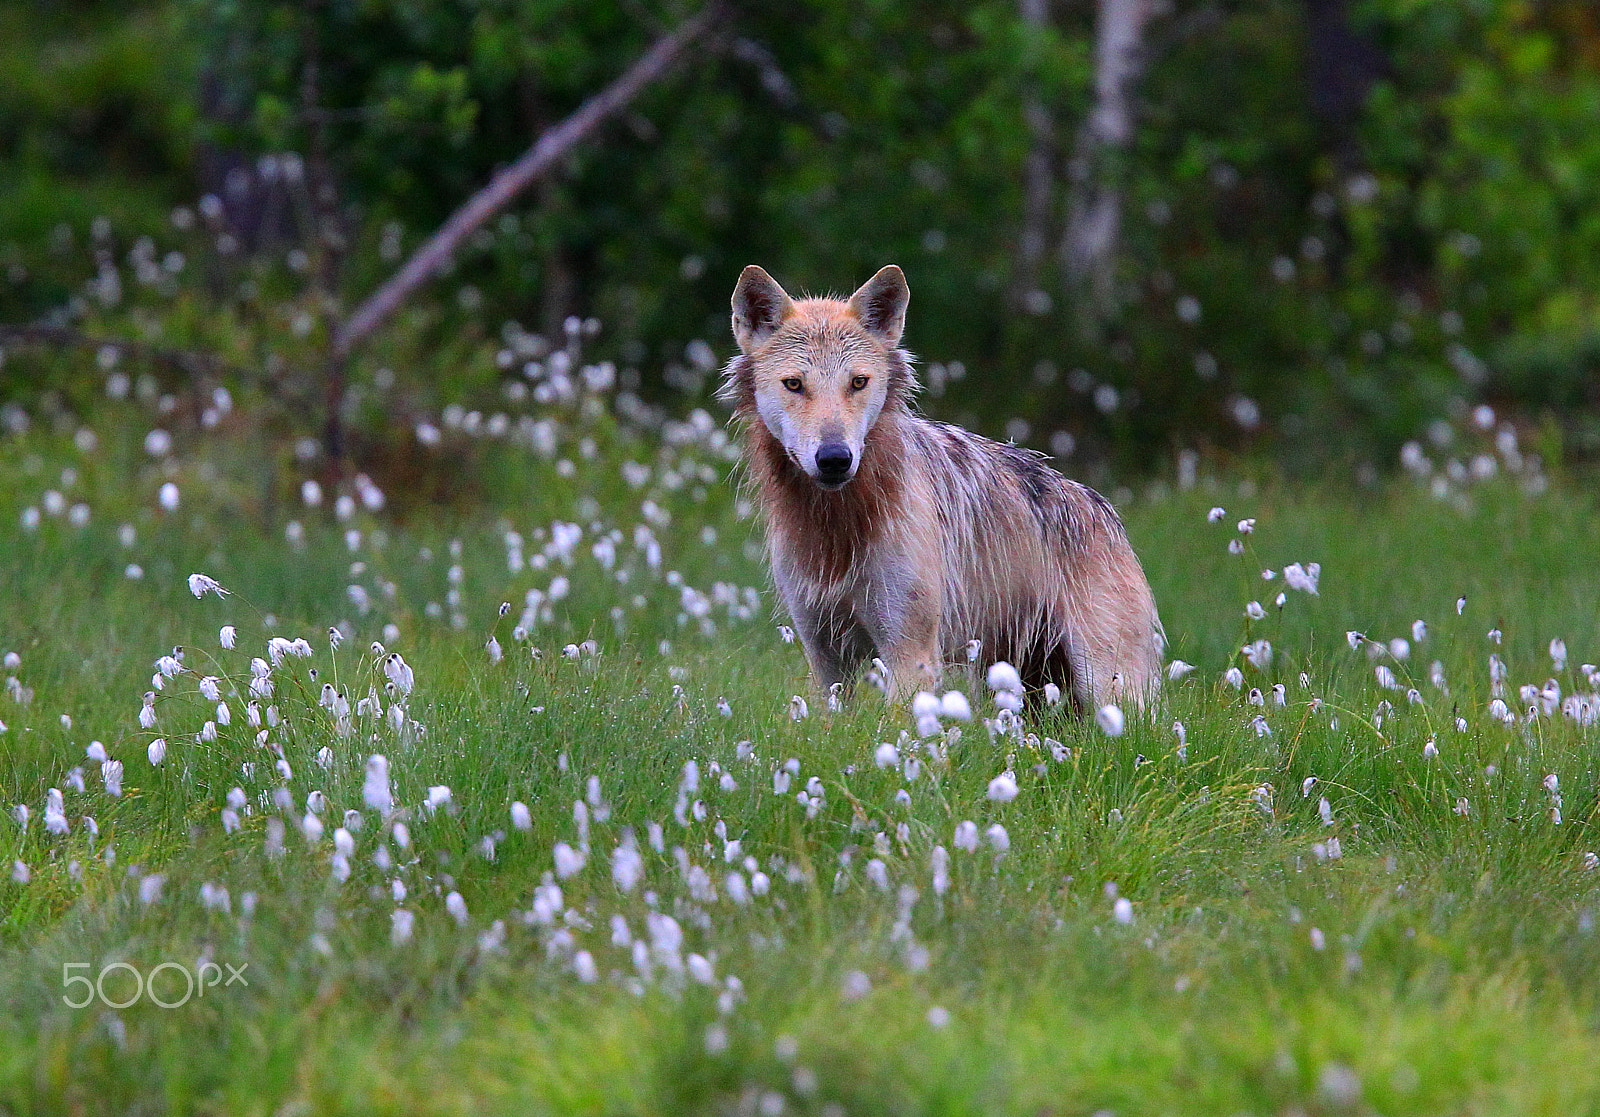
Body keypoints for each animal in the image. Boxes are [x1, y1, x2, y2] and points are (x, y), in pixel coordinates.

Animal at [723, 264, 1164, 712]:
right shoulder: (825, 658)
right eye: (794, 384)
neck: (839, 526)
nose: (834, 458)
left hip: (1107, 689)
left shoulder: (910, 653)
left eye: (858, 382)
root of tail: (1107, 513)